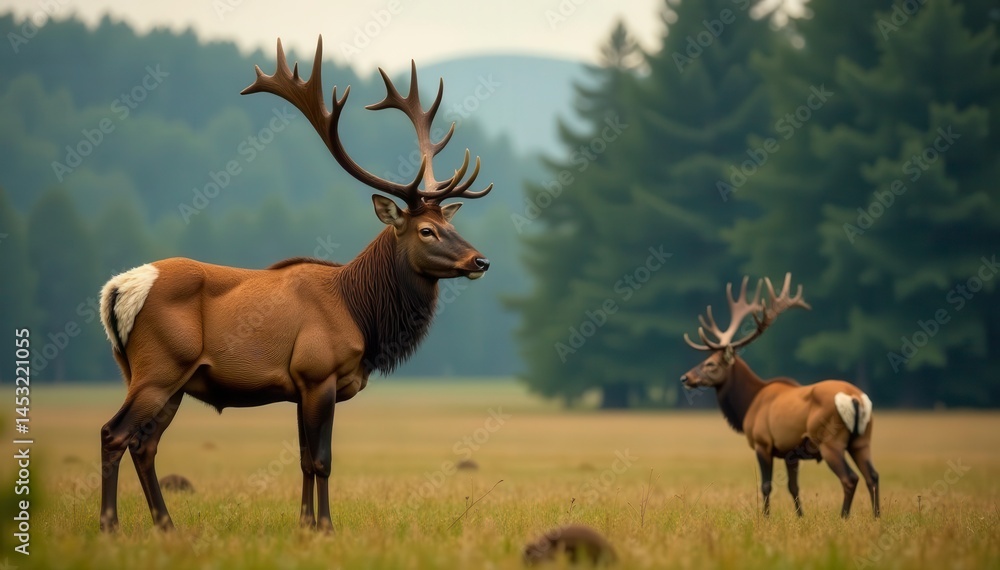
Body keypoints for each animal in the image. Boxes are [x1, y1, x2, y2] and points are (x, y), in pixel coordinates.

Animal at [97, 36, 493, 533]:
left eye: (449, 223)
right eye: (426, 231)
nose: (480, 260)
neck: (362, 316)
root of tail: (118, 290)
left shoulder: (304, 386)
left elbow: (305, 459)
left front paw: (305, 524)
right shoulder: (317, 371)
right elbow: (321, 459)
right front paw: (325, 527)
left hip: (158, 376)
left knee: (144, 444)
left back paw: (166, 526)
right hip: (160, 367)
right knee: (113, 434)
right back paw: (110, 526)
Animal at [679, 274, 880, 519]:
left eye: (711, 364)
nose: (685, 378)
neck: (748, 404)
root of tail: (854, 398)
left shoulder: (763, 443)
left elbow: (767, 485)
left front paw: (765, 517)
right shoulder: (789, 452)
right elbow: (793, 486)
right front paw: (801, 517)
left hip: (829, 440)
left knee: (850, 478)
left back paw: (843, 518)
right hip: (862, 439)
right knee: (873, 476)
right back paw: (877, 517)